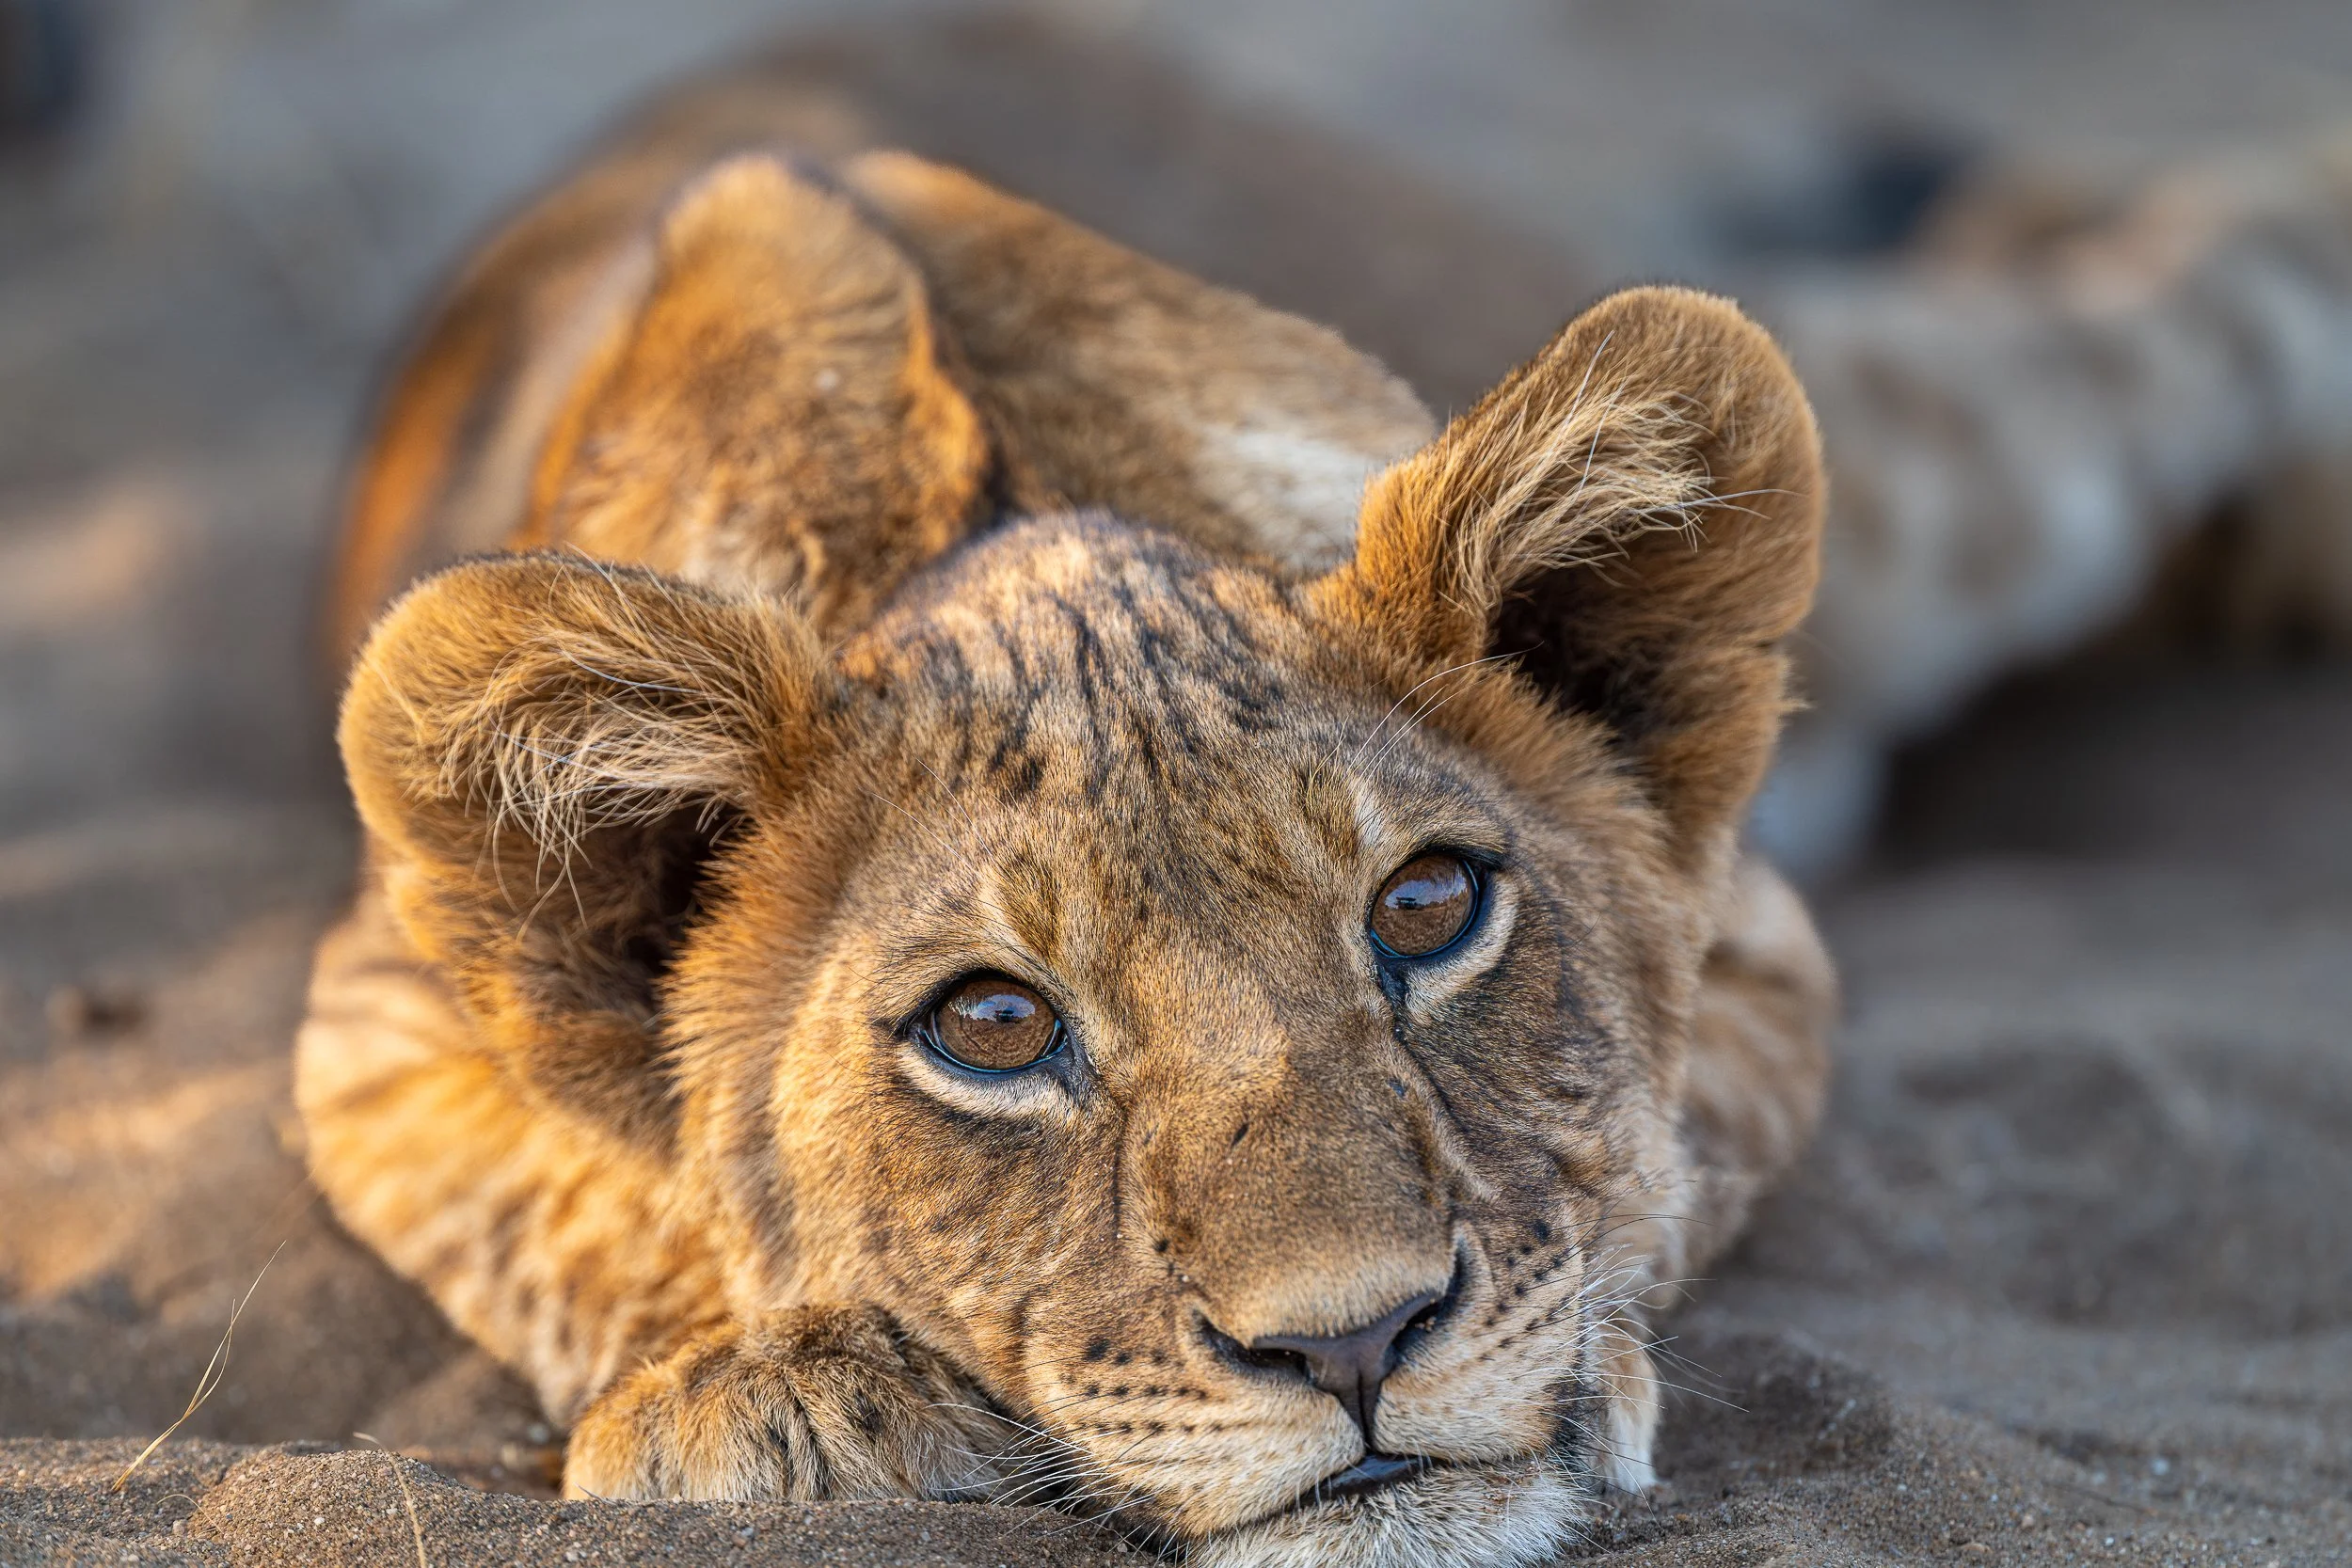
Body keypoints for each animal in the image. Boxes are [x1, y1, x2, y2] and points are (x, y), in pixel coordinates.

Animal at [295, 129, 1836, 1567]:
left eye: (1426, 906)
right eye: (992, 1023)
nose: (1352, 1339)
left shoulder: (1766, 947)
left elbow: (1673, 1154)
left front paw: (1599, 1363)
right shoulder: (373, 1030)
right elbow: (572, 1210)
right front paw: (765, 1403)